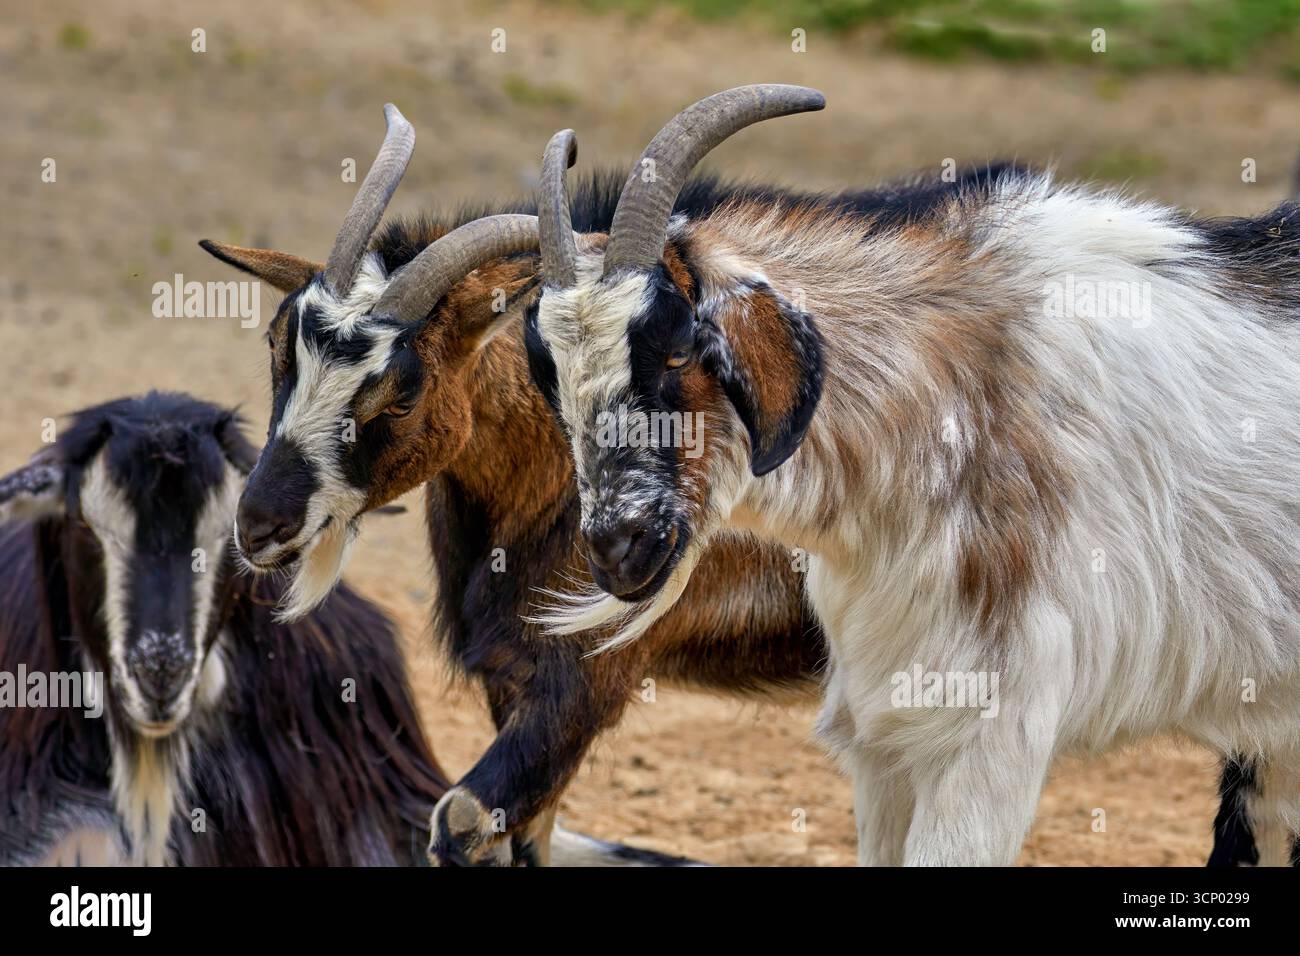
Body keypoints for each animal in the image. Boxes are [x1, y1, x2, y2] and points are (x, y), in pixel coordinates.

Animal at [524, 85, 1300, 866]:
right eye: (549, 379)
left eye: (681, 346)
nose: (618, 547)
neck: (961, 393)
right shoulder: (888, 742)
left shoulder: (993, 735)